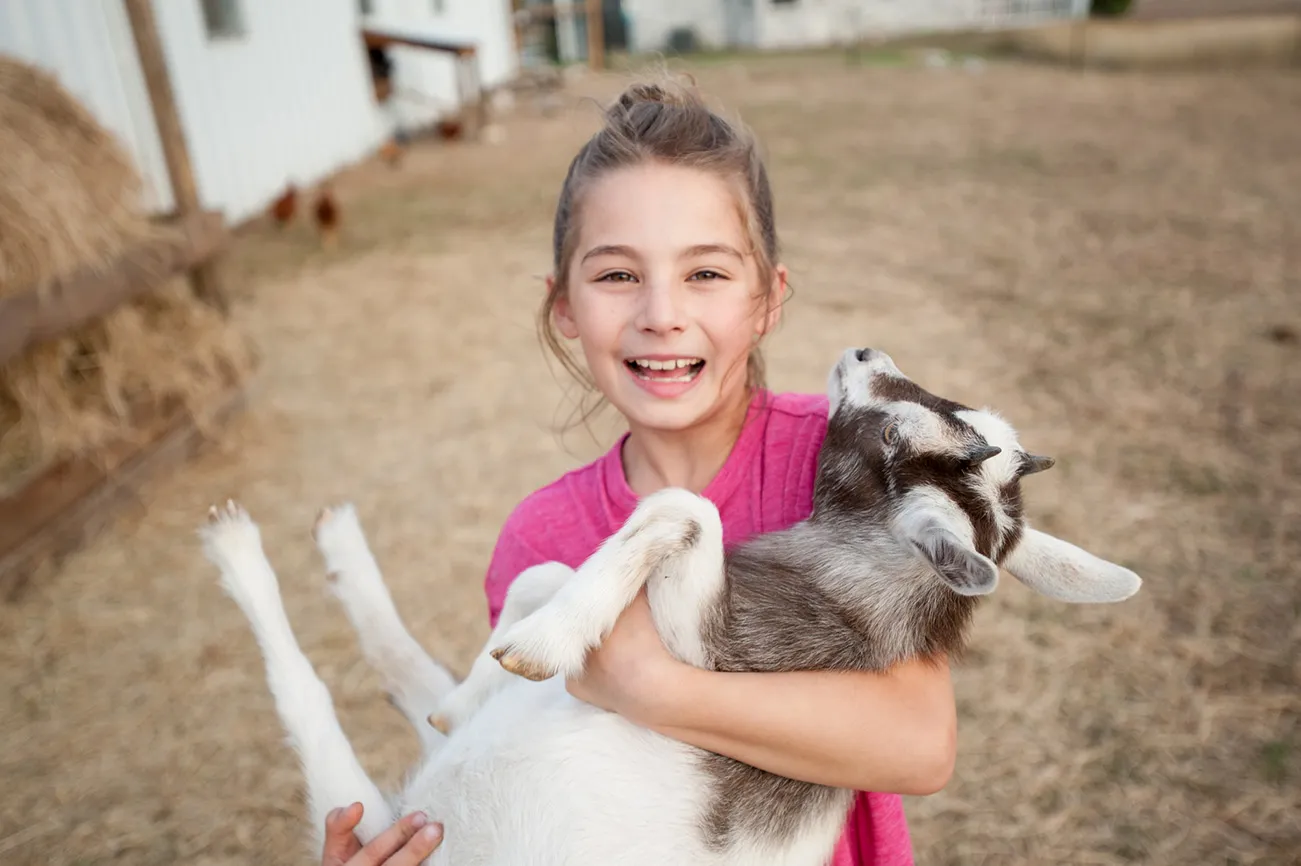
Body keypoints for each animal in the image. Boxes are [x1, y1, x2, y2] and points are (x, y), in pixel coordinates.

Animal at [197, 343, 1144, 863]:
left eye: (888, 434)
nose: (865, 355)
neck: (844, 588)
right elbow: (544, 573)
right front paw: (499, 661)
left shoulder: (712, 656)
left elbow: (683, 508)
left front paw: (542, 642)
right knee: (409, 682)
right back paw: (348, 558)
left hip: (372, 816)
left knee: (309, 703)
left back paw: (239, 549)